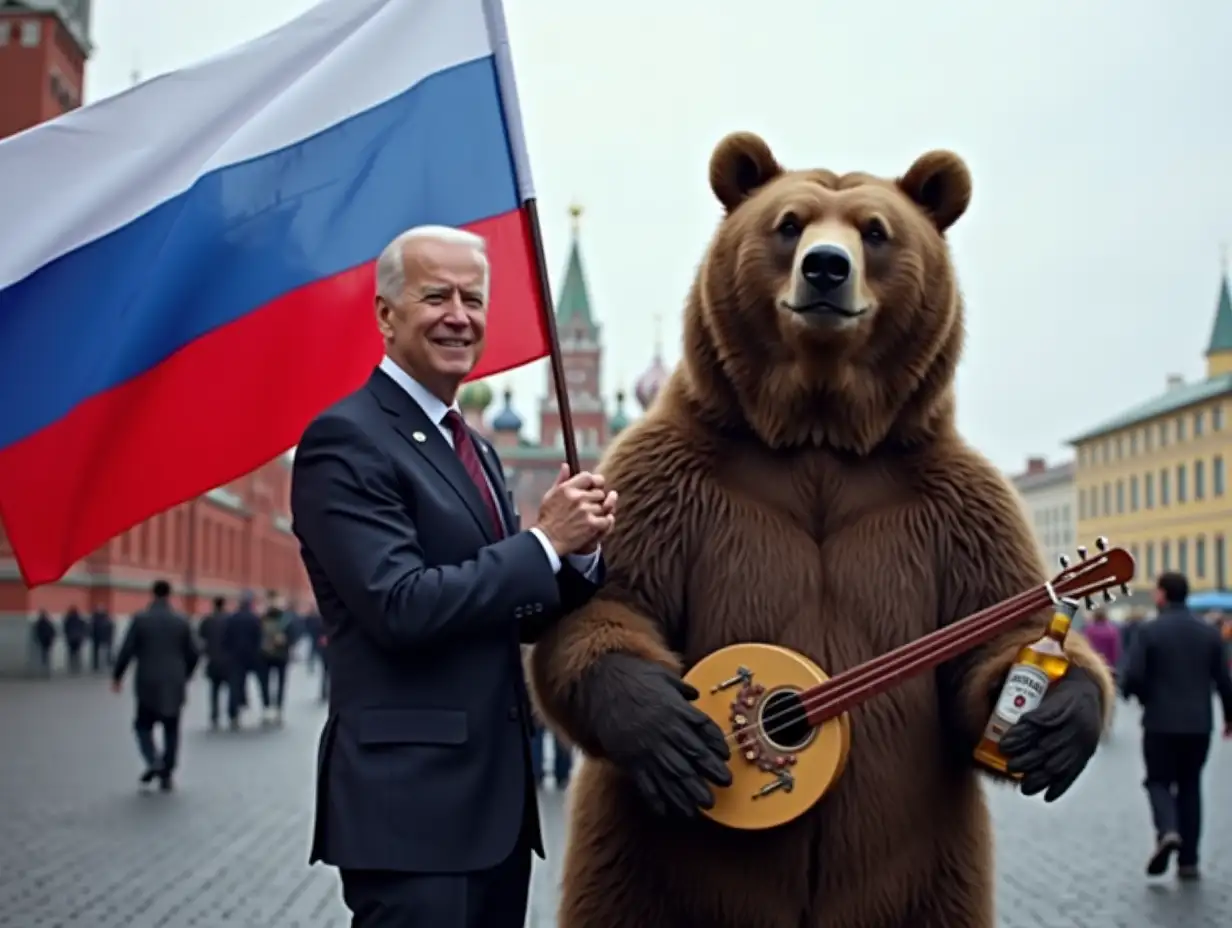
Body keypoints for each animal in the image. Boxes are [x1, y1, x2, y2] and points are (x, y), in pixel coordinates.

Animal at [529, 130, 1118, 926]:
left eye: (875, 232)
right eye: (789, 225)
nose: (827, 266)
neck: (819, 435)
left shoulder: (969, 503)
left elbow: (988, 646)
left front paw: (1063, 711)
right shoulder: (655, 474)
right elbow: (604, 603)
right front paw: (652, 720)